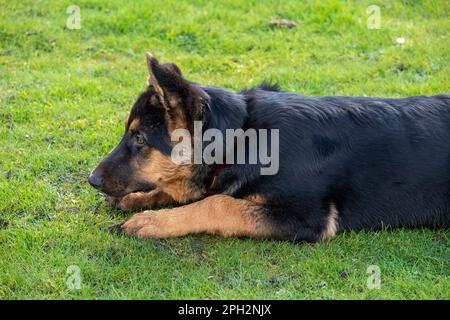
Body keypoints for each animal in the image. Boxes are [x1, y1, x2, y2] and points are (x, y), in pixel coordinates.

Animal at [88, 53, 450, 242]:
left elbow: (216, 203)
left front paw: (151, 221)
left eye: (139, 139)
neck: (241, 137)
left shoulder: (307, 217)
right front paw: (142, 198)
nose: (91, 180)